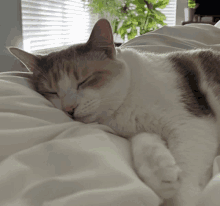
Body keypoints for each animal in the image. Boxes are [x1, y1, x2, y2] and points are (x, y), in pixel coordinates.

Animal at [8, 18, 220, 205]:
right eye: (51, 92)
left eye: (85, 80)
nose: (69, 109)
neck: (124, 105)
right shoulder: (139, 130)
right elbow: (143, 142)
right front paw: (159, 171)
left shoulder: (192, 124)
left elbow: (186, 176)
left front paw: (180, 196)